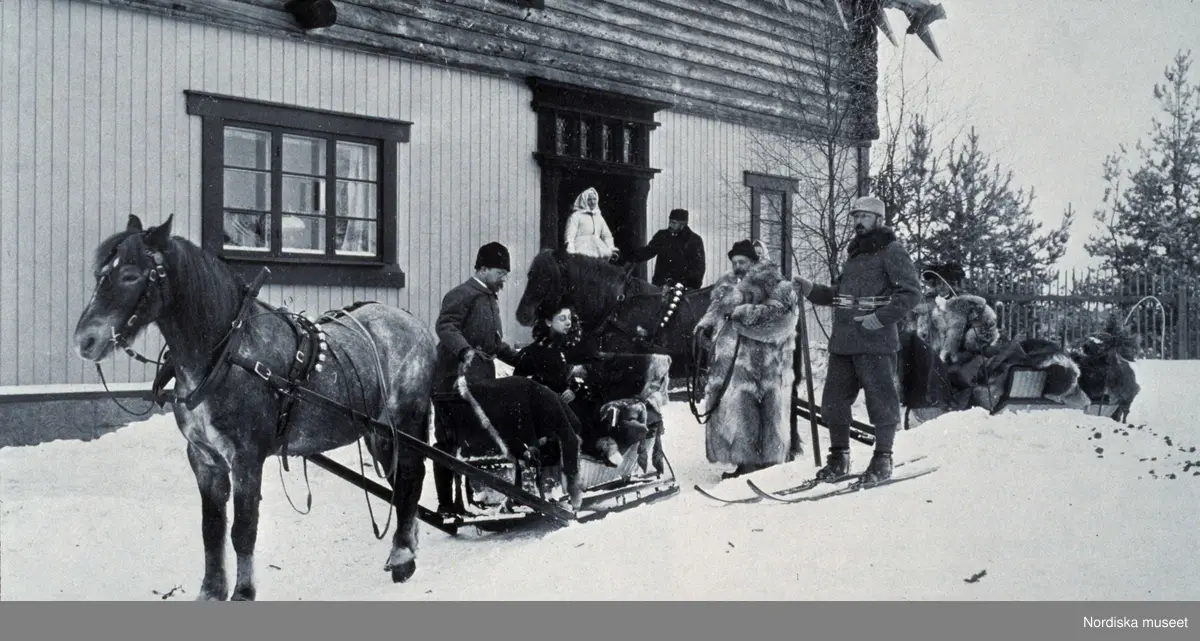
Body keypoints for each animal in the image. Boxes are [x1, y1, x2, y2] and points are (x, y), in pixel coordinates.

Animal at [71, 216, 436, 602]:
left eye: (129, 274)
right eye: (100, 273)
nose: (85, 342)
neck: (226, 355)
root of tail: (412, 321)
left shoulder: (246, 457)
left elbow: (243, 530)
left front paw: (243, 592)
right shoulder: (204, 458)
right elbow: (212, 529)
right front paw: (211, 589)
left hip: (405, 422)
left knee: (411, 477)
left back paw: (402, 556)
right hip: (378, 432)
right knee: (401, 483)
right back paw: (406, 546)